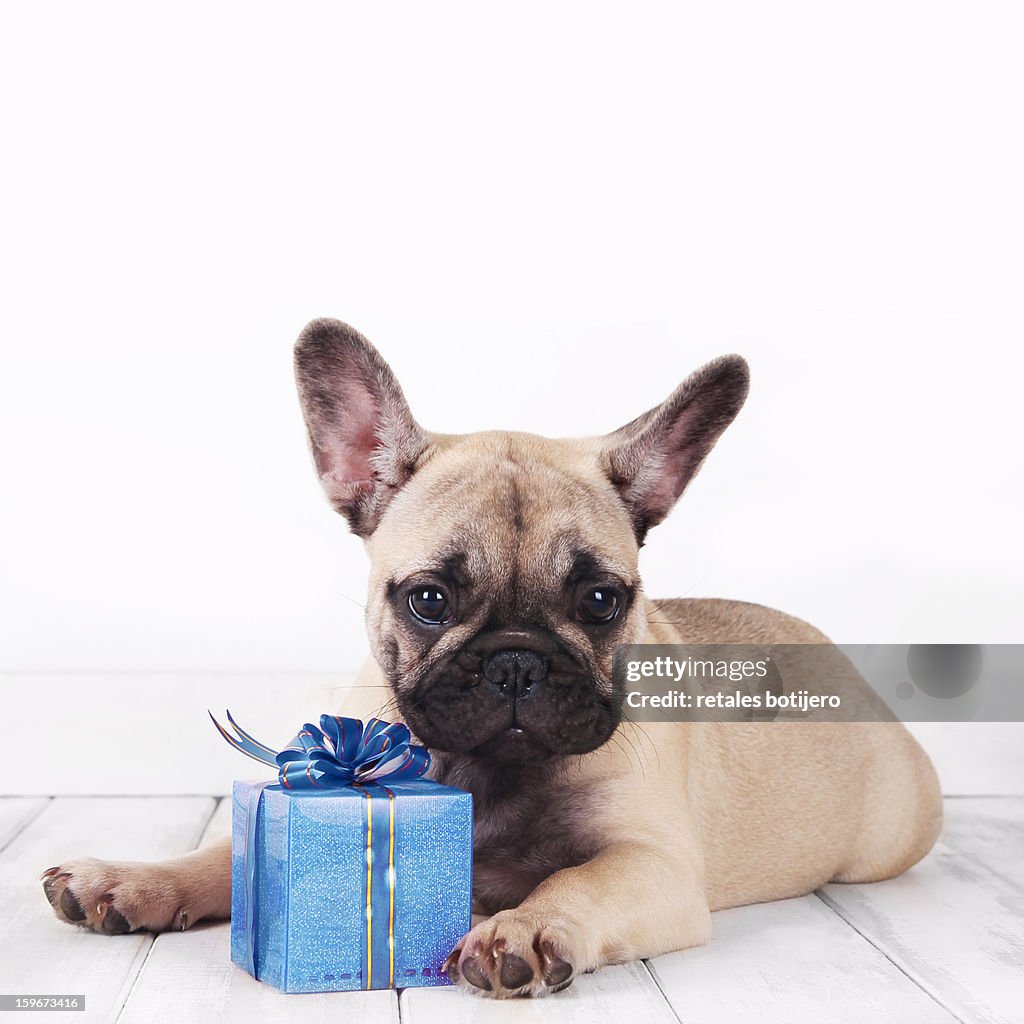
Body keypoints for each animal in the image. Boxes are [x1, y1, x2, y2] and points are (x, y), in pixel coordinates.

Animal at [39, 317, 937, 991]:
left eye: (602, 601)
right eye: (429, 600)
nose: (516, 661)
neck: (487, 772)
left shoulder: (651, 863)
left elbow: (578, 878)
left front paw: (529, 928)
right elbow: (222, 855)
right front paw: (134, 879)